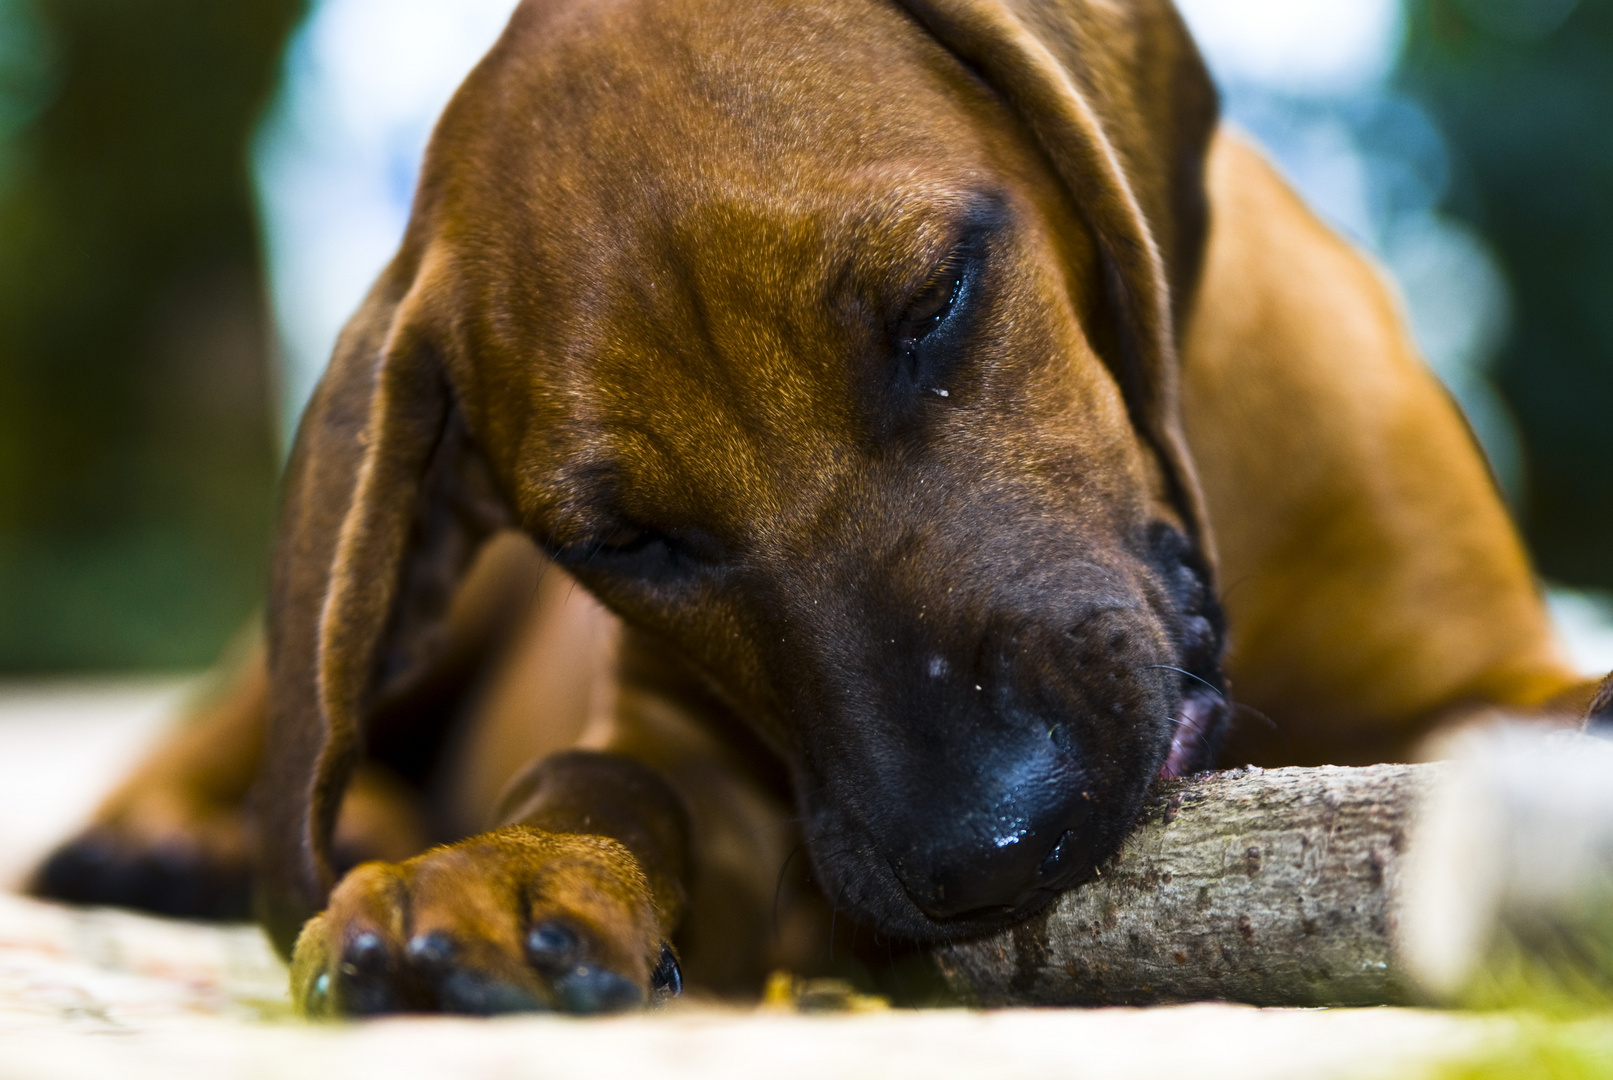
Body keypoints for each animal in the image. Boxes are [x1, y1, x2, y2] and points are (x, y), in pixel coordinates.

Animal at [34, 0, 1600, 1018]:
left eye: (935, 302)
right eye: (627, 541)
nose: (991, 853)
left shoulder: (1457, 659)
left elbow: (1500, 725)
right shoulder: (723, 799)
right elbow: (605, 778)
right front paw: (502, 872)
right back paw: (187, 837)